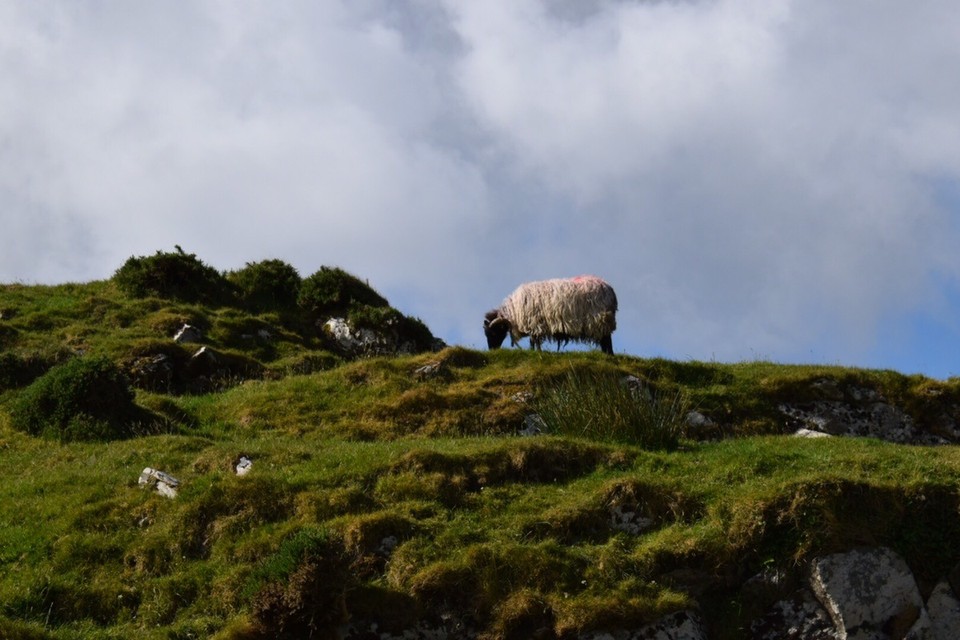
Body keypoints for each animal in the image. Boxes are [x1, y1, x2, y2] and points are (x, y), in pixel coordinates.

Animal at [484, 276, 620, 356]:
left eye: (494, 333)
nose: (491, 350)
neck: (514, 313)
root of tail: (610, 290)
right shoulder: (535, 325)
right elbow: (535, 341)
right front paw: (536, 352)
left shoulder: (535, 323)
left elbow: (534, 341)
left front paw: (535, 352)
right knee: (604, 340)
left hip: (601, 320)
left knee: (607, 340)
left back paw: (609, 355)